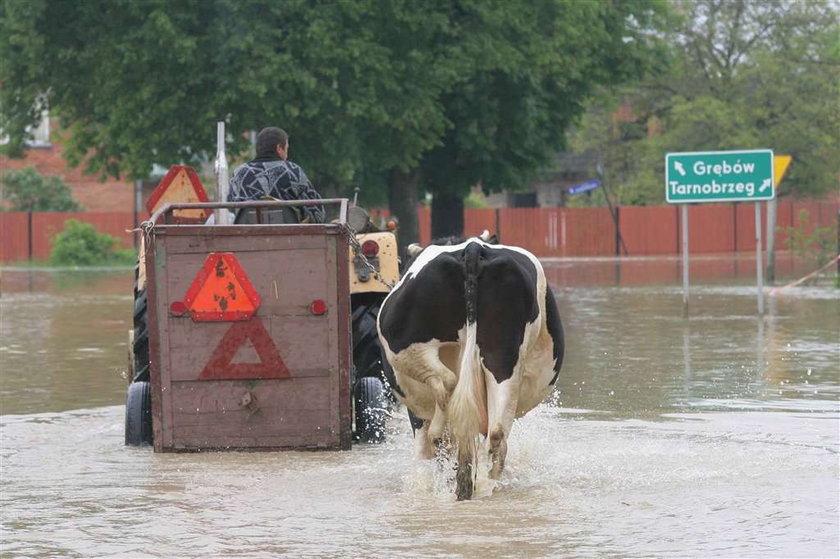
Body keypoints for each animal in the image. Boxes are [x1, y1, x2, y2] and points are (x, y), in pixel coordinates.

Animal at [378, 235, 564, 498]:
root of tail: (473, 248)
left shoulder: (416, 413)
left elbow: (423, 452)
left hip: (407, 348)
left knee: (446, 388)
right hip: (503, 360)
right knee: (496, 433)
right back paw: (481, 484)